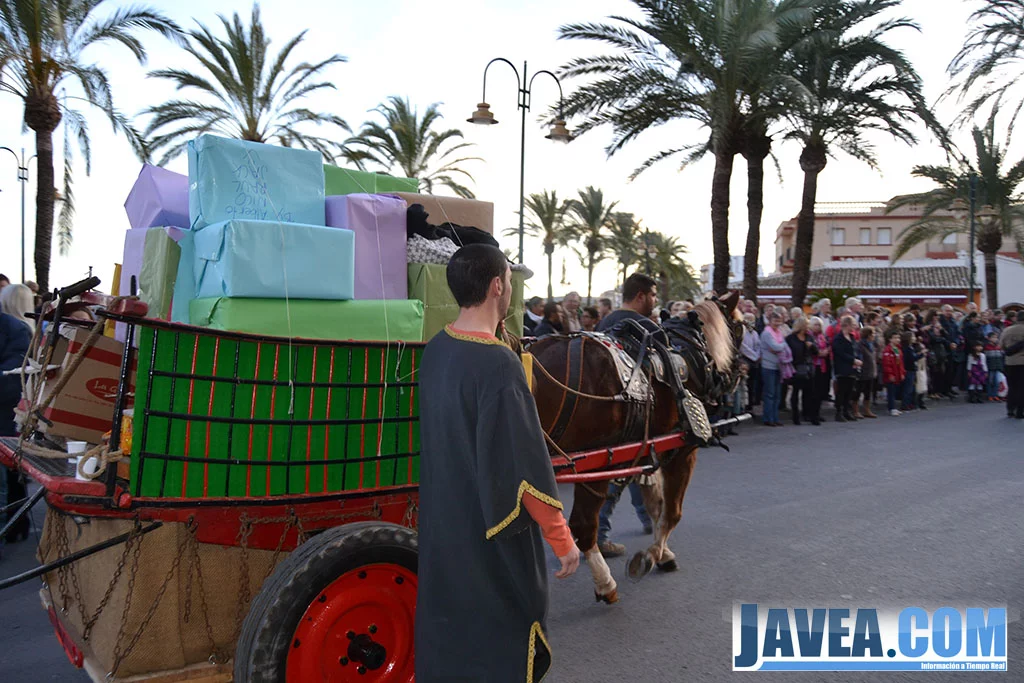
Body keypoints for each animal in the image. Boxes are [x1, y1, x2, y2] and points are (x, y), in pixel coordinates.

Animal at [528, 294, 745, 602]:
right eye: (739, 327)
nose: (741, 371)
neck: (687, 350)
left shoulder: (646, 449)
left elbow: (654, 505)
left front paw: (663, 553)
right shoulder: (682, 449)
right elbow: (672, 512)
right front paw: (651, 555)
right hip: (596, 462)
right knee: (584, 526)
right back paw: (605, 583)